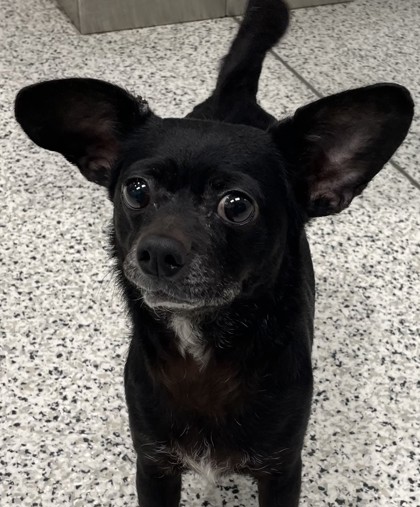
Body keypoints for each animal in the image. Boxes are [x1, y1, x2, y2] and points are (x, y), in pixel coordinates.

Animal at [14, 0, 413, 505]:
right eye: (136, 190)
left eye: (237, 205)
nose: (156, 252)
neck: (202, 351)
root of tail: (232, 97)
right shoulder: (154, 466)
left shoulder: (281, 472)